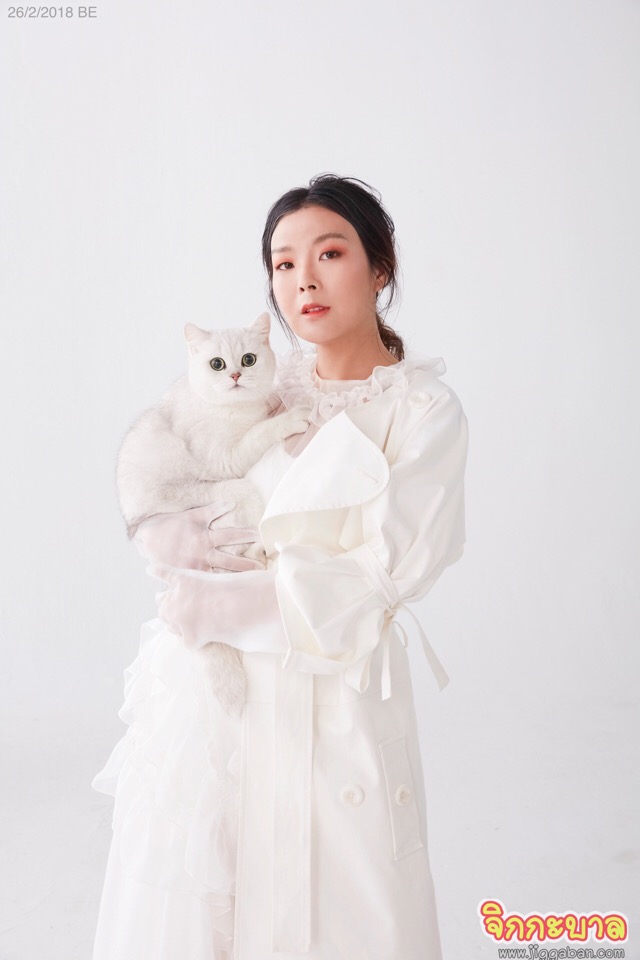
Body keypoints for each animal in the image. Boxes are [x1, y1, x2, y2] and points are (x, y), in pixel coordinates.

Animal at [116, 311, 311, 717]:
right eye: (216, 364)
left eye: (249, 359)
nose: (235, 375)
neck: (235, 410)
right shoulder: (225, 460)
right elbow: (261, 432)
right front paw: (289, 418)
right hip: (230, 494)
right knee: (236, 556)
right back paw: (256, 554)